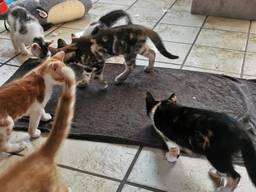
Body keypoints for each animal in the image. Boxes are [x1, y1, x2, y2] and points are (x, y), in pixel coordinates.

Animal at [0, 50, 76, 190]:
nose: (68, 80)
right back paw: (18, 147)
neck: (40, 75)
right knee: (3, 145)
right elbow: (34, 122)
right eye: (62, 76)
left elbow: (42, 111)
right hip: (8, 121)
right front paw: (35, 132)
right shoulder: (37, 107)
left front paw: (45, 116)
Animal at [49, 24, 179, 89]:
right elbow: (86, 74)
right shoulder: (88, 65)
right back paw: (149, 68)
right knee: (152, 52)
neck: (77, 49)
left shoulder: (99, 61)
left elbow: (97, 75)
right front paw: (84, 82)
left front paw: (103, 84)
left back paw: (120, 78)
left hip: (129, 52)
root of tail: (141, 27)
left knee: (131, 66)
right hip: (139, 48)